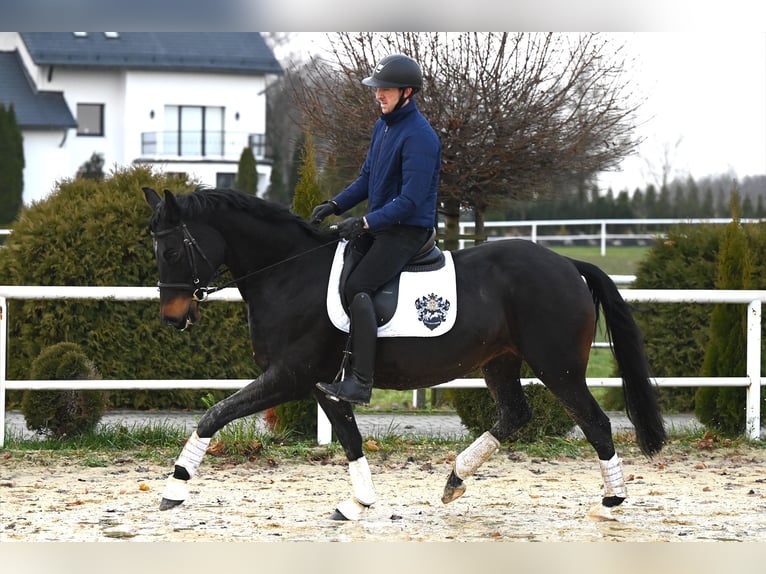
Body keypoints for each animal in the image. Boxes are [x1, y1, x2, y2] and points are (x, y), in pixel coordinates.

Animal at [142, 186, 664, 520]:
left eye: (171, 253)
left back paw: (612, 502)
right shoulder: (324, 384)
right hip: (500, 362)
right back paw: (454, 480)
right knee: (515, 414)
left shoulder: (289, 376)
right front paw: (358, 503)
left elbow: (215, 414)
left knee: (595, 423)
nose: (172, 318)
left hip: (558, 367)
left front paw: (174, 487)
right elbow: (350, 439)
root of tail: (569, 263)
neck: (289, 273)